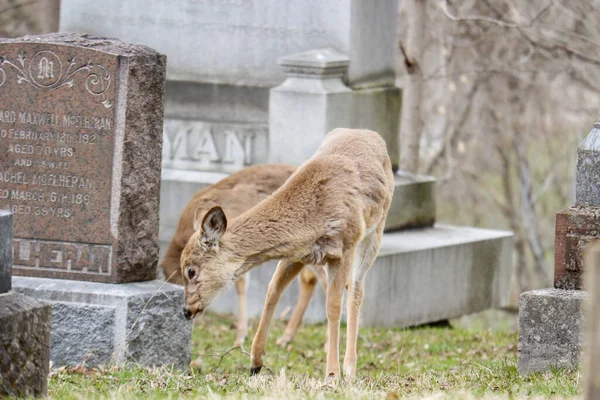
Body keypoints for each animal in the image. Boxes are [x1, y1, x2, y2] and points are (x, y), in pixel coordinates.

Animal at [162, 164, 326, 346]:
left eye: (191, 272)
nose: (187, 311)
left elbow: (240, 284)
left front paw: (240, 338)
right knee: (309, 279)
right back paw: (285, 338)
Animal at [179, 128, 394, 378]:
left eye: (191, 271)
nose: (187, 310)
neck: (313, 217)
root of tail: (371, 134)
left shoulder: (344, 246)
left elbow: (333, 305)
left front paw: (332, 374)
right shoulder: (297, 253)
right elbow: (272, 291)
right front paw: (255, 362)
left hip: (374, 233)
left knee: (356, 291)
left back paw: (350, 368)